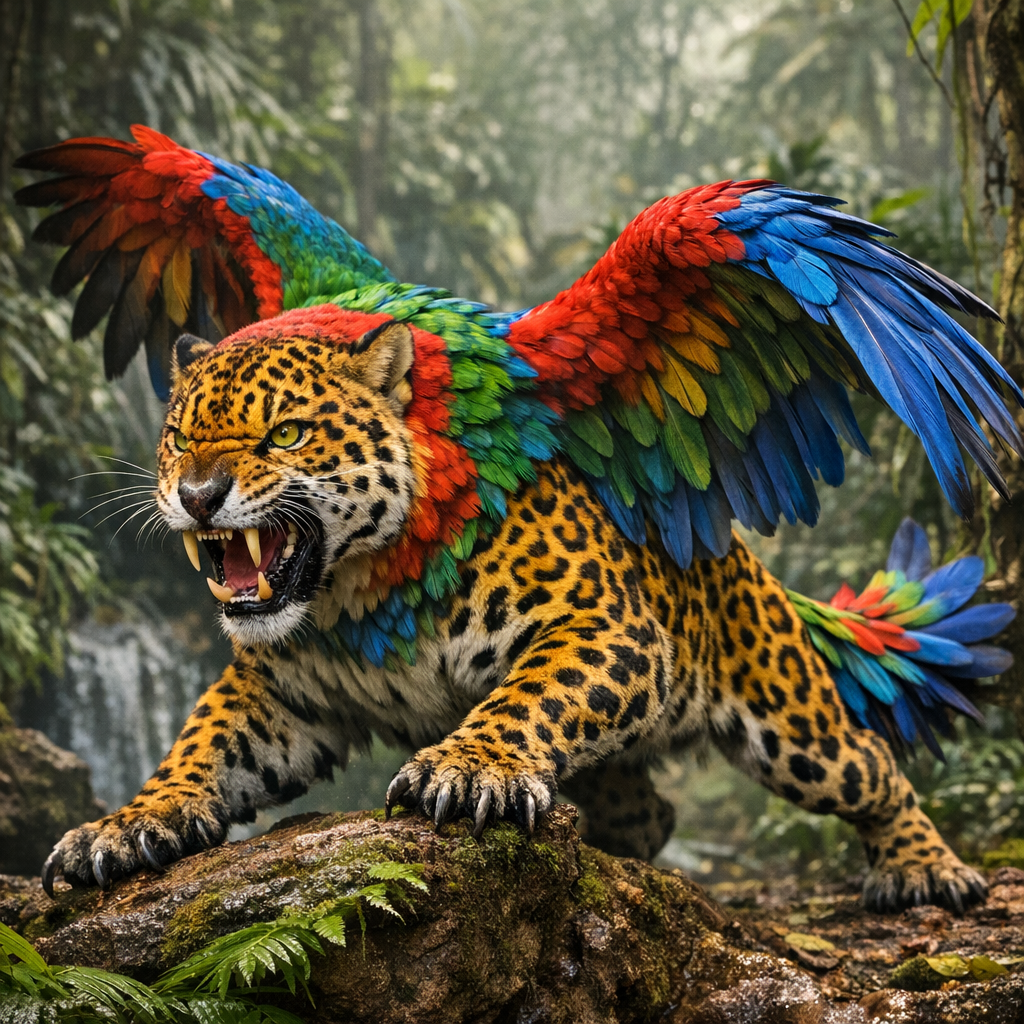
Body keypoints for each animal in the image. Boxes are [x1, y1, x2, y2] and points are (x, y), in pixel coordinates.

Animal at [41, 312, 988, 915]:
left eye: (287, 435)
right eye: (178, 436)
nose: (198, 496)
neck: (353, 587)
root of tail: (729, 544)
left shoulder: (604, 627)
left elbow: (527, 698)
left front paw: (469, 770)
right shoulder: (280, 696)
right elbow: (198, 745)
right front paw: (129, 824)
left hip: (792, 721)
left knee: (873, 767)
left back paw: (928, 871)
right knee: (650, 809)